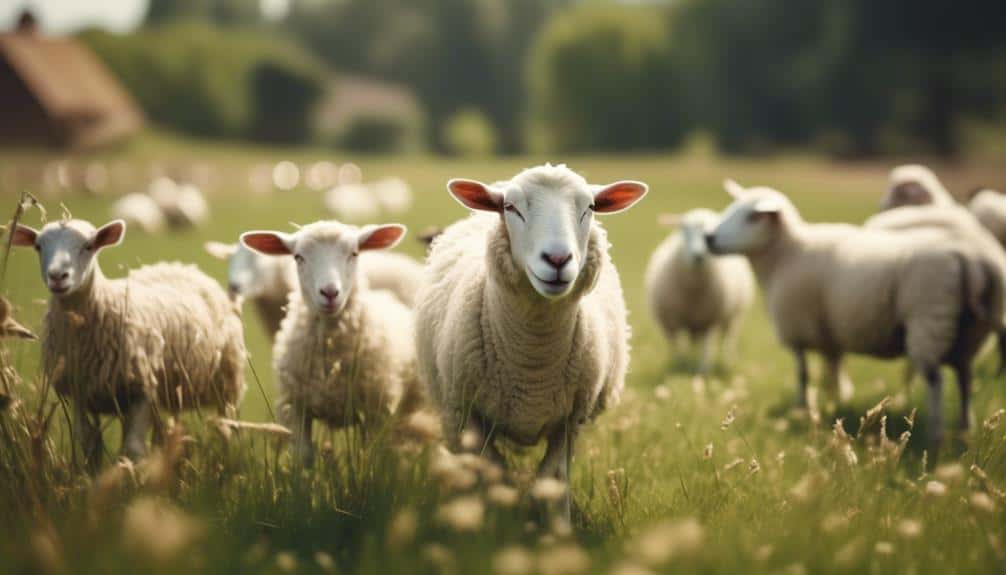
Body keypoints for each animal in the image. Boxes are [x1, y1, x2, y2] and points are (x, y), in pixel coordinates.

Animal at [11, 218, 246, 470]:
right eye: (38, 246)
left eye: (88, 246)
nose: (57, 276)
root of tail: (181, 267)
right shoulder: (80, 392)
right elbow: (88, 443)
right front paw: (93, 476)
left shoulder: (142, 391)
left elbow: (133, 449)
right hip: (172, 390)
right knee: (169, 432)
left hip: (227, 384)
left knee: (225, 429)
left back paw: (224, 464)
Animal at [241, 220, 421, 465]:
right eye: (298, 257)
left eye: (354, 253)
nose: (329, 293)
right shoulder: (293, 409)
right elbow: (304, 457)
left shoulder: (377, 411)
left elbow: (370, 457)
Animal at [415, 163, 648, 524]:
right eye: (511, 208)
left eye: (590, 207)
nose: (557, 259)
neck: (532, 356)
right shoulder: (469, 415)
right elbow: (492, 473)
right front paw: (492, 523)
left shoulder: (570, 420)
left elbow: (552, 479)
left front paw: (558, 528)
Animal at [644, 209, 754, 374]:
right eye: (684, 230)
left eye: (708, 234)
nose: (698, 256)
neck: (694, 291)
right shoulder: (670, 321)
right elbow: (675, 346)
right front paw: (677, 366)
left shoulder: (709, 319)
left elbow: (706, 348)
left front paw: (703, 370)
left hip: (733, 317)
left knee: (728, 339)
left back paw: (727, 361)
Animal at [706, 180, 1001, 445]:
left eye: (753, 216)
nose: (710, 238)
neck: (786, 254)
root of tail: (970, 259)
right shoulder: (829, 330)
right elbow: (834, 367)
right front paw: (838, 400)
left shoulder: (798, 329)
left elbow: (804, 375)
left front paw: (803, 408)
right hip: (970, 331)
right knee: (965, 380)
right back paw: (965, 431)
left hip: (930, 320)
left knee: (936, 381)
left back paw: (935, 436)